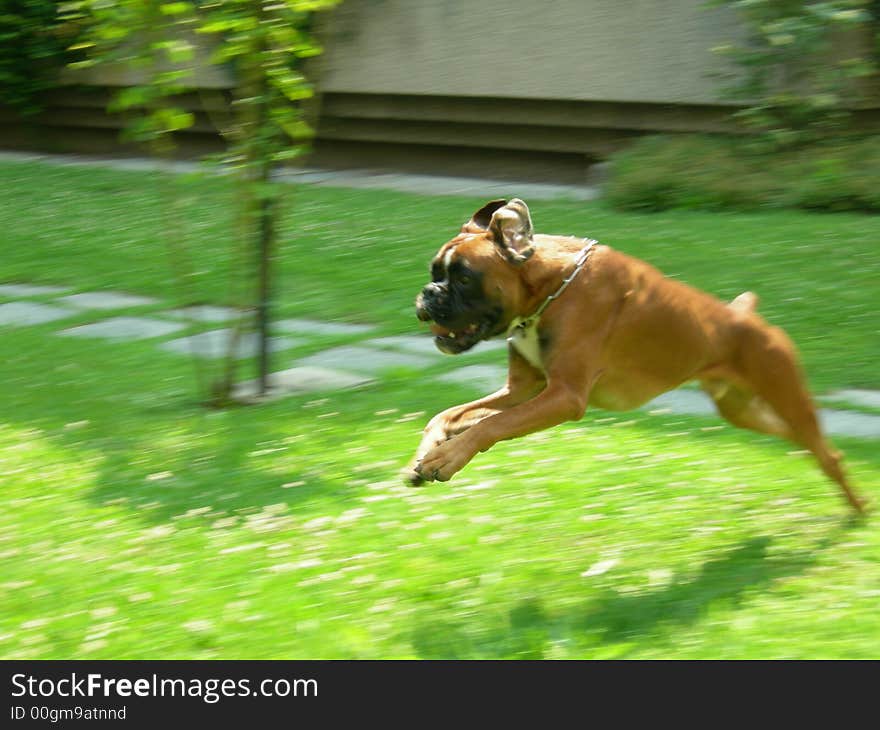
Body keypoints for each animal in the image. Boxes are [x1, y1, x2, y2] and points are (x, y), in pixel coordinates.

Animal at [404, 195, 868, 512]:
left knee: (827, 453)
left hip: (787, 397)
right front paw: (428, 452)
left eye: (464, 277)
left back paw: (857, 511)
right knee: (814, 447)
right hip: (746, 412)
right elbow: (451, 415)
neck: (551, 288)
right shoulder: (522, 390)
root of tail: (750, 320)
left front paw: (447, 457)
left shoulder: (563, 396)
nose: (428, 293)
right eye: (434, 272)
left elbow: (491, 425)